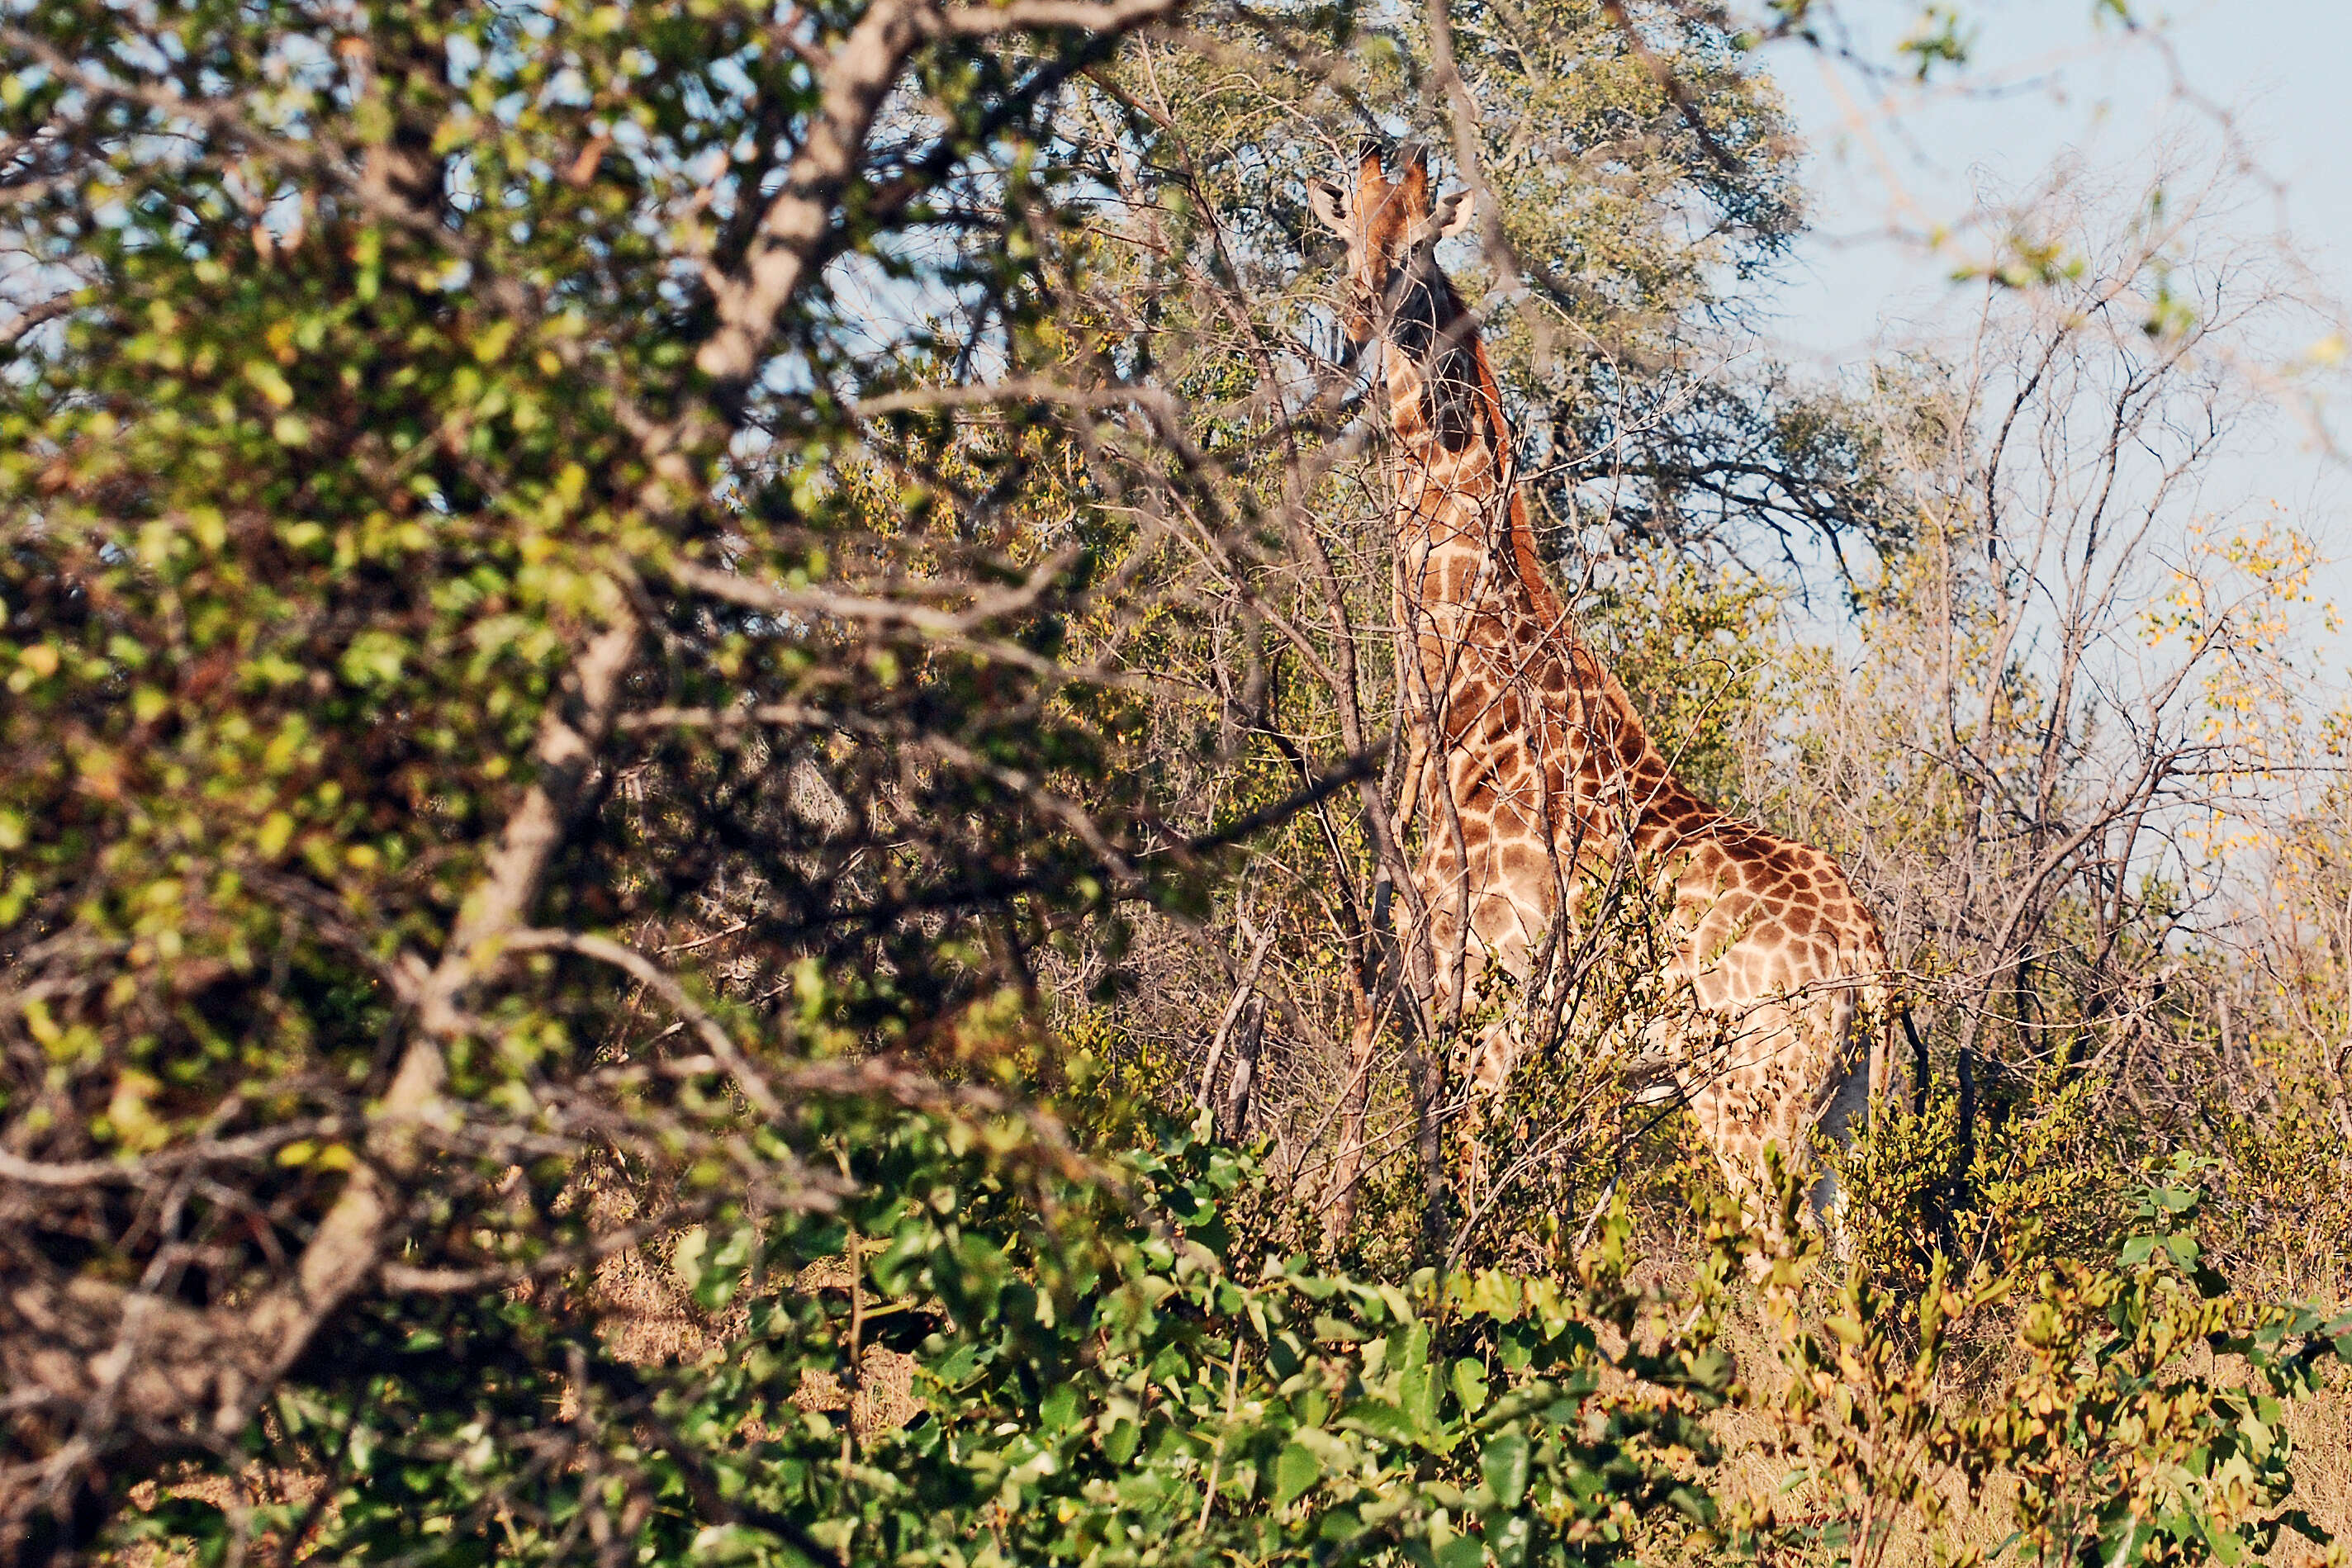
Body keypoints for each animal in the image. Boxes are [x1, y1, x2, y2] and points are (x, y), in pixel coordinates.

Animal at [1307, 146, 1909, 1241]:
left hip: (1748, 1102)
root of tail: (1869, 953)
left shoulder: (1494, 1011)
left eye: (1419, 245)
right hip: (1845, 1109)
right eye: (1348, 232)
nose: (1361, 312)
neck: (1473, 704)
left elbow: (1469, 1217)